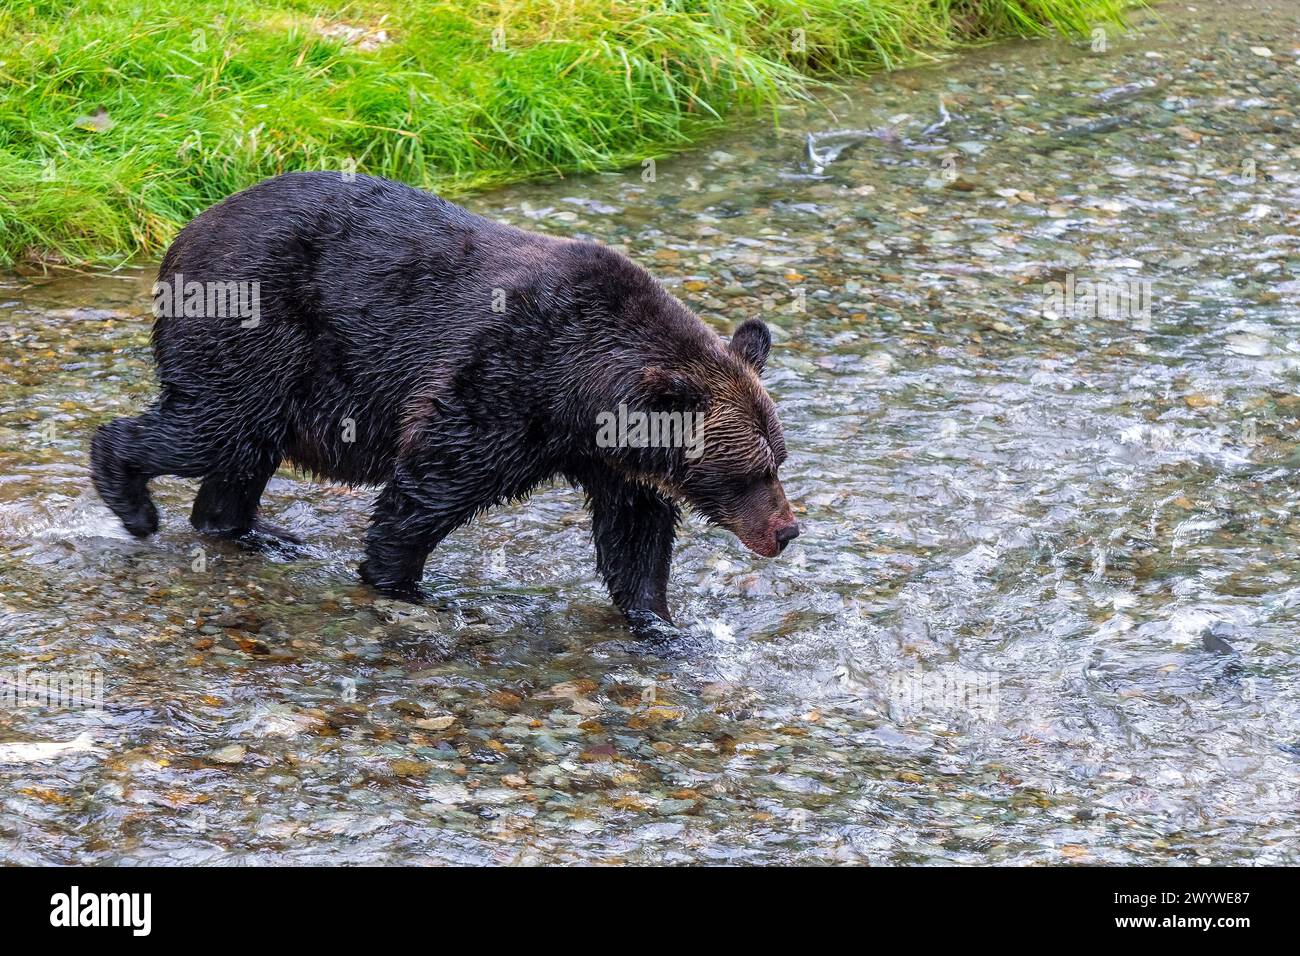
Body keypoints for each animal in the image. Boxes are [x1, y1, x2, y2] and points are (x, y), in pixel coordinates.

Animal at [91, 171, 795, 632]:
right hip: (252, 325)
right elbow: (427, 487)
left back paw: (258, 533)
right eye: (749, 470)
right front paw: (402, 584)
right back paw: (134, 502)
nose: (786, 530)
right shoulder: (501, 381)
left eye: (778, 461)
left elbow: (635, 536)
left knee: (240, 454)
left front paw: (661, 623)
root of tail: (184, 233)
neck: (580, 393)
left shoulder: (613, 460)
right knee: (211, 426)